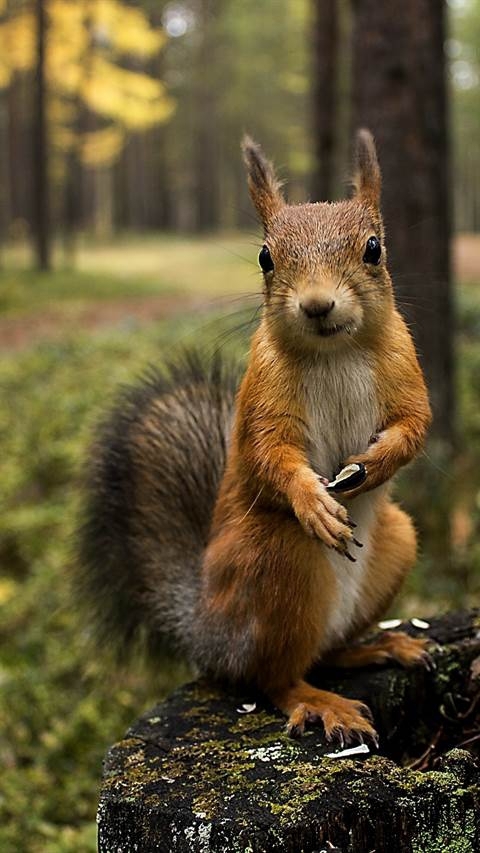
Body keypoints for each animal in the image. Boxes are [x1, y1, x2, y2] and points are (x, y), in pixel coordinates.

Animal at [77, 129, 432, 745]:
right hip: (275, 559)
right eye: (266, 257)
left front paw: (376, 463)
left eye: (374, 249)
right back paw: (320, 701)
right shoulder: (262, 396)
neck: (336, 351)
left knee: (324, 652)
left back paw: (379, 647)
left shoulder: (405, 370)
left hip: (397, 543)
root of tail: (208, 633)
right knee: (273, 677)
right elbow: (269, 454)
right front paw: (313, 501)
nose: (317, 304)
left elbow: (415, 425)